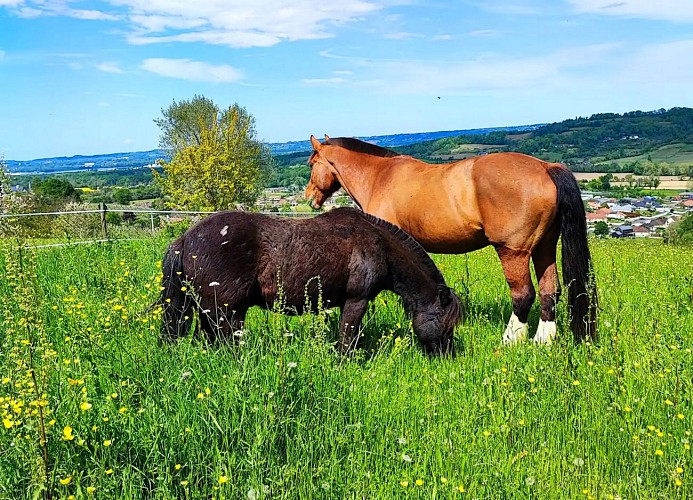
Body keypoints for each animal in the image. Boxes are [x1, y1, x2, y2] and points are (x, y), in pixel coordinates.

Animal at [159, 207, 462, 355]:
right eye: (446, 324)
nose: (447, 355)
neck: (379, 246)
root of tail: (185, 238)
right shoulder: (356, 301)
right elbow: (347, 340)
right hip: (226, 313)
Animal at [305, 135, 597, 344]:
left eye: (310, 164)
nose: (310, 198)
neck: (381, 176)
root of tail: (546, 167)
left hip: (513, 251)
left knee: (524, 294)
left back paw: (509, 340)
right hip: (544, 247)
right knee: (550, 292)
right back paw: (542, 341)